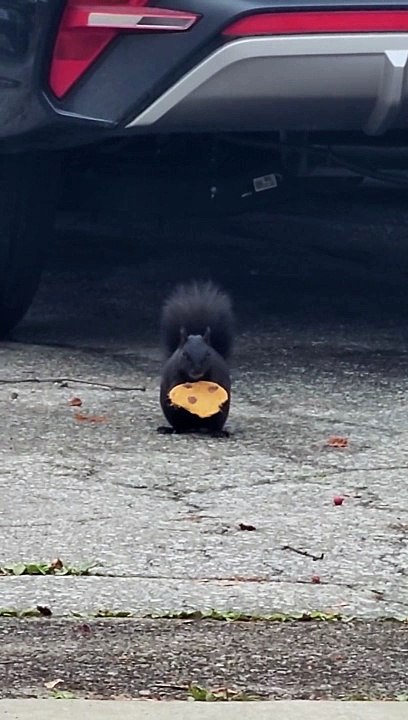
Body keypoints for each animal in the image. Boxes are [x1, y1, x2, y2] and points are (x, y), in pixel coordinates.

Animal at [159, 281, 234, 434]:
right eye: (184, 355)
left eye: (208, 354)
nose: (197, 370)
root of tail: (196, 426)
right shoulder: (173, 372)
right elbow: (174, 384)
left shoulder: (217, 371)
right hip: (174, 416)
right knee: (179, 426)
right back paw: (171, 429)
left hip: (220, 416)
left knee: (215, 426)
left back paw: (218, 432)